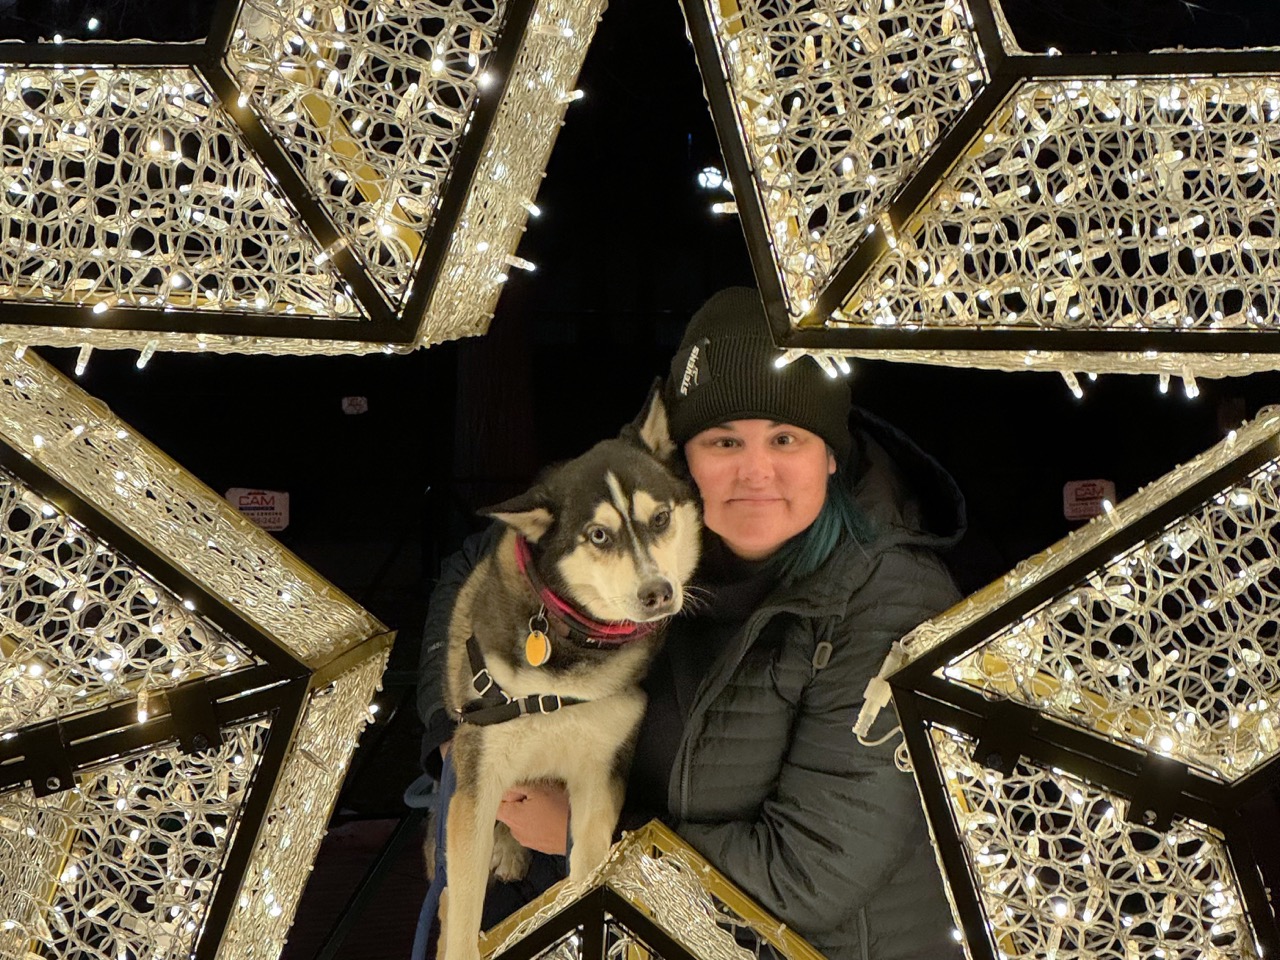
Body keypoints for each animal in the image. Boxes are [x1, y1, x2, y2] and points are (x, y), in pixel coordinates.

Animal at [440, 389, 701, 960]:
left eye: (660, 518)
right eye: (598, 535)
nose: (658, 592)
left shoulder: (599, 775)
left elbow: (586, 877)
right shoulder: (479, 772)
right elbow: (464, 906)